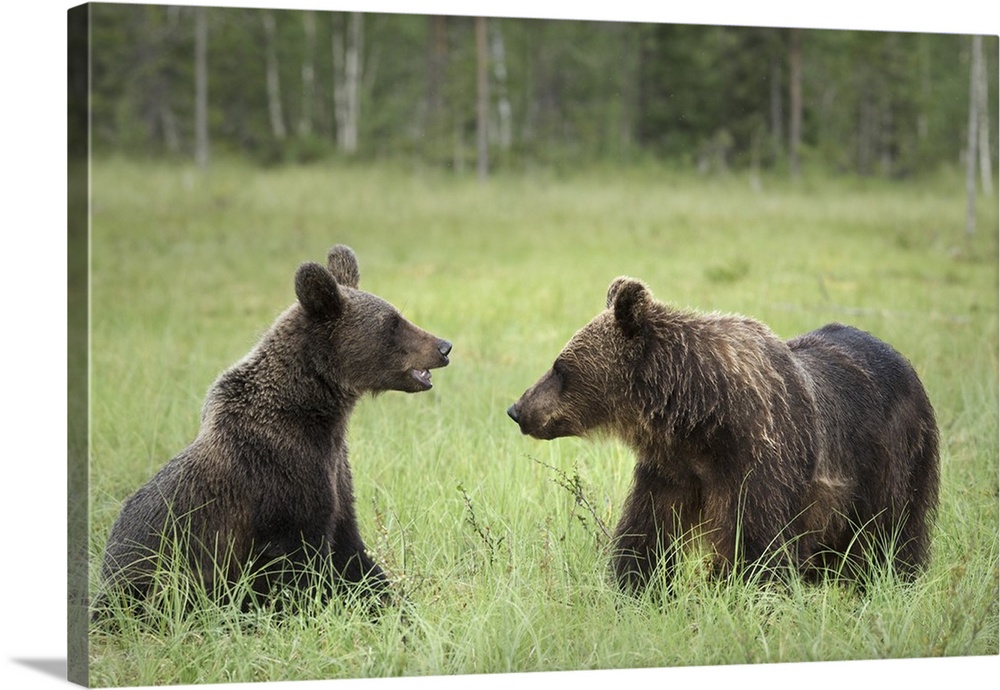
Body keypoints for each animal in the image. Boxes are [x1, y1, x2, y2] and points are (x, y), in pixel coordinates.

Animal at [94, 245, 454, 616]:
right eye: (392, 323)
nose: (444, 346)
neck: (314, 412)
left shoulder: (334, 470)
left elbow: (350, 549)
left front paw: (393, 602)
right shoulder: (280, 476)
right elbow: (299, 563)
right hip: (152, 581)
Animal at [508, 274, 936, 592]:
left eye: (559, 367)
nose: (517, 409)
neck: (700, 416)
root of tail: (904, 361)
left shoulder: (760, 459)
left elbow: (756, 545)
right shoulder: (672, 468)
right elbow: (647, 532)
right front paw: (639, 588)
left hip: (892, 459)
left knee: (893, 534)